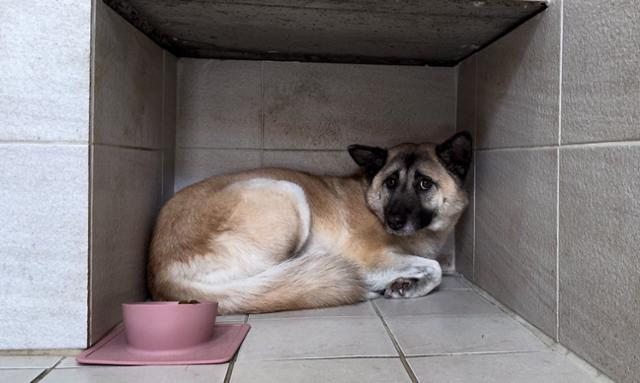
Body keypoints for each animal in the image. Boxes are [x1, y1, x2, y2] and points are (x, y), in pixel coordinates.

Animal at [149, 132, 470, 316]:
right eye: (391, 182)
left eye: (424, 183)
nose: (393, 221)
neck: (370, 196)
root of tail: (159, 273)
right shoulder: (370, 259)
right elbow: (435, 268)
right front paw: (409, 284)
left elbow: (433, 265)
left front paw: (406, 283)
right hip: (289, 194)